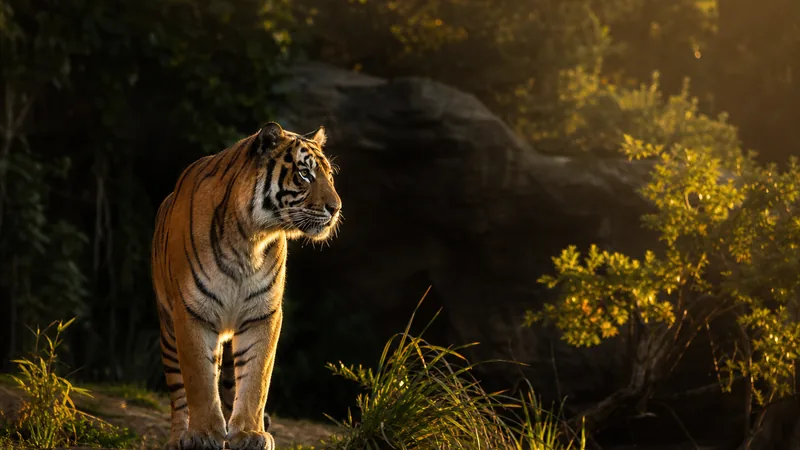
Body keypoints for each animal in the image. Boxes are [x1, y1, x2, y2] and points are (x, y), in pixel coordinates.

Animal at [150, 122, 341, 450]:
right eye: (305, 174)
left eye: (329, 176)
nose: (336, 208)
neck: (250, 237)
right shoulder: (191, 311)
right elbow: (199, 379)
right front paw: (203, 434)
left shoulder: (263, 313)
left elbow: (256, 379)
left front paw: (250, 434)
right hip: (168, 329)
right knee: (179, 392)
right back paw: (179, 437)